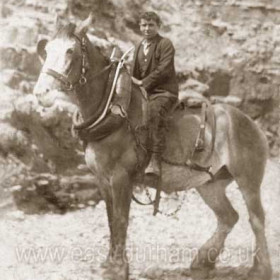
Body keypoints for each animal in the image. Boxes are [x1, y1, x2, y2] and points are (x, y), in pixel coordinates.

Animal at [32, 15, 272, 280]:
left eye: (70, 51)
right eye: (46, 49)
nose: (41, 93)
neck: (113, 113)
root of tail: (249, 121)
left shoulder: (121, 178)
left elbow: (120, 220)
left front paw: (119, 268)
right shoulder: (102, 180)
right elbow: (110, 220)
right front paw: (109, 264)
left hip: (248, 179)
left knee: (256, 219)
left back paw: (260, 268)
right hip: (210, 184)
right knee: (229, 217)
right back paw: (202, 261)